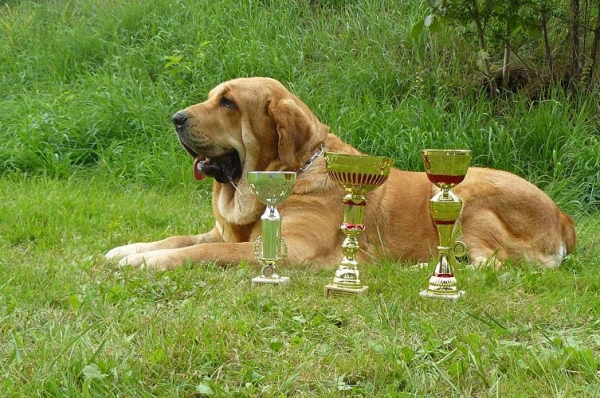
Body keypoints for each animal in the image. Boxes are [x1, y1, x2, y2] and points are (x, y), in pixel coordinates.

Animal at [104, 77, 576, 270]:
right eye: (212, 98)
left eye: (228, 103)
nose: (176, 118)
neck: (293, 172)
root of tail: (564, 217)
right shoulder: (224, 231)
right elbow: (181, 238)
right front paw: (129, 249)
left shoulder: (288, 248)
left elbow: (204, 252)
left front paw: (147, 261)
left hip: (470, 194)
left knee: (494, 263)